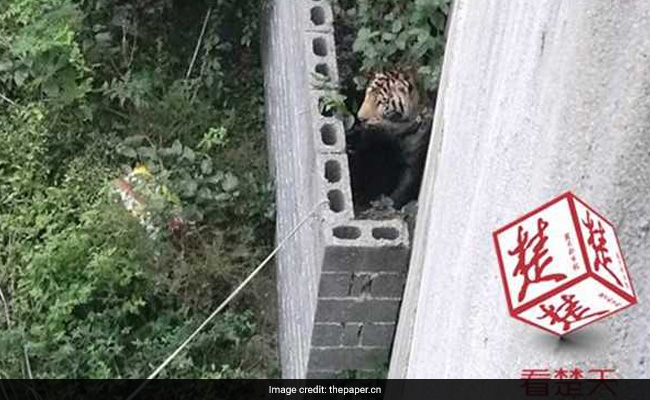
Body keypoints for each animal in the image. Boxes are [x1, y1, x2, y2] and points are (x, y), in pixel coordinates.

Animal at [350, 69, 430, 209]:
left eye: (380, 102)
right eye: (367, 95)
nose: (360, 118)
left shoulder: (413, 162)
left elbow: (404, 187)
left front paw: (387, 203)